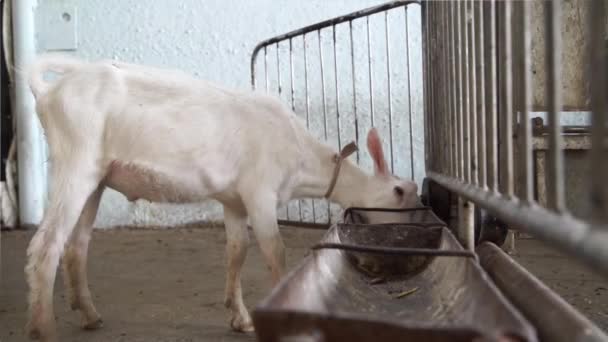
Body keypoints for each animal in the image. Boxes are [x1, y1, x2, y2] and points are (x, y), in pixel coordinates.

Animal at [25, 54, 418, 340]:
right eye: (401, 194)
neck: (301, 154)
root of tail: (49, 94)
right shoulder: (260, 191)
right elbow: (275, 252)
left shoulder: (234, 200)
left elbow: (237, 252)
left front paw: (239, 317)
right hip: (75, 161)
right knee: (46, 246)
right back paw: (44, 329)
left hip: (97, 177)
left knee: (76, 245)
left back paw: (89, 315)